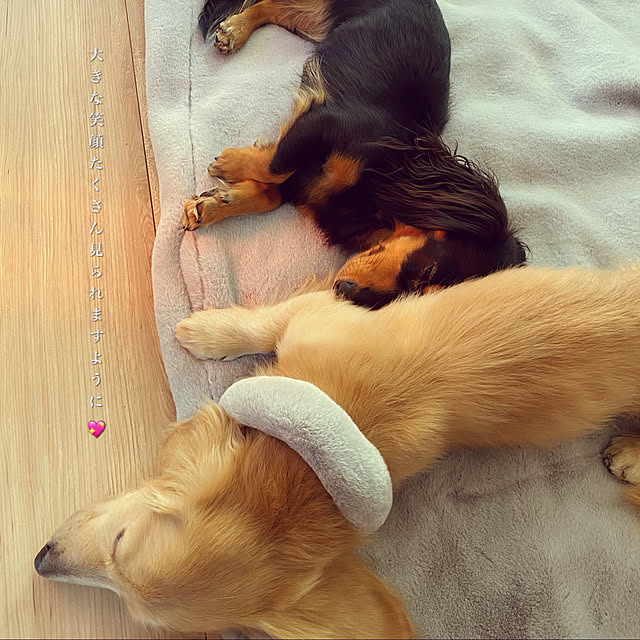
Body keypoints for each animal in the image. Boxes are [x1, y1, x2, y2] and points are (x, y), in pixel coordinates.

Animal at [36, 265, 640, 638]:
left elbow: (265, 321)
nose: (41, 562)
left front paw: (206, 331)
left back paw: (629, 455)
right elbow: (263, 323)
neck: (305, 460)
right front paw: (211, 332)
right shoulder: (315, 316)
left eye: (119, 547)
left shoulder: (319, 313)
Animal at [181, 0, 527, 309]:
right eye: (427, 270)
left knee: (272, 8)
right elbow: (275, 167)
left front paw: (214, 203)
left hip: (310, 18)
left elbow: (272, 193)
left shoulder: (311, 181)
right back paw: (235, 29)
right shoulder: (325, 121)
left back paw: (235, 30)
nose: (344, 292)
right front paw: (230, 164)